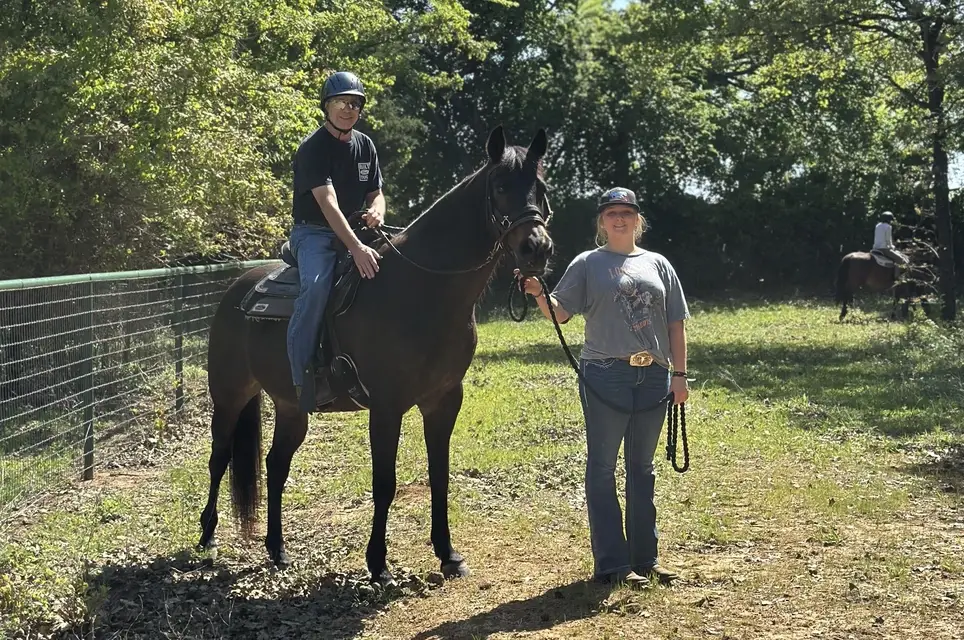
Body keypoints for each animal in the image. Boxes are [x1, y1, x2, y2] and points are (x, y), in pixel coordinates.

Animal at [196, 126, 555, 586]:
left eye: (540, 188)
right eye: (500, 187)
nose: (536, 248)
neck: (421, 289)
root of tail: (236, 291)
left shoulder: (444, 400)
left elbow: (440, 474)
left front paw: (448, 554)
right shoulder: (386, 406)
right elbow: (385, 482)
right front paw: (379, 564)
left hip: (291, 406)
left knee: (276, 466)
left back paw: (277, 549)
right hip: (229, 395)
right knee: (219, 458)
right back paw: (208, 538)